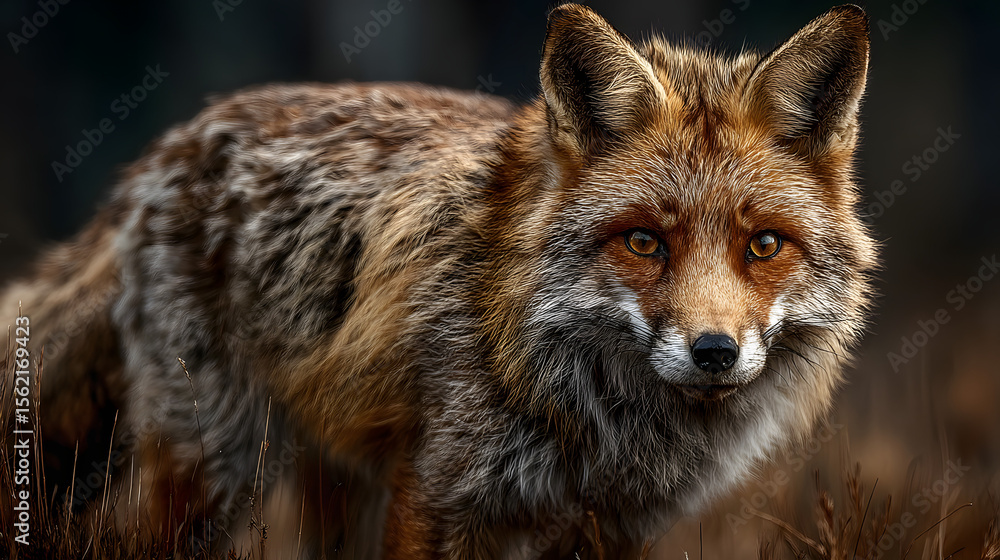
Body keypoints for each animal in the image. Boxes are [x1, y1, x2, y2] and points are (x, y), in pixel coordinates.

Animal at [0, 3, 876, 559]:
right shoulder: (439, 498)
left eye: (764, 245)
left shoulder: (616, 529)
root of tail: (165, 147)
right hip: (211, 473)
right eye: (643, 242)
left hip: (332, 480)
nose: (714, 352)